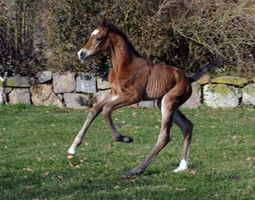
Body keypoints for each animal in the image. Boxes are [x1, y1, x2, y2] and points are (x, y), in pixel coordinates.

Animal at [67, 18, 223, 176]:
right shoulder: (114, 93)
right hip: (164, 103)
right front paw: (73, 148)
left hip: (169, 102)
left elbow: (106, 109)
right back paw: (182, 166)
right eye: (91, 35)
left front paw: (125, 138)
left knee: (165, 136)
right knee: (187, 126)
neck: (124, 66)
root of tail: (188, 79)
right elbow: (95, 110)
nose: (81, 53)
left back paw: (137, 169)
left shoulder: (133, 97)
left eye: (99, 38)